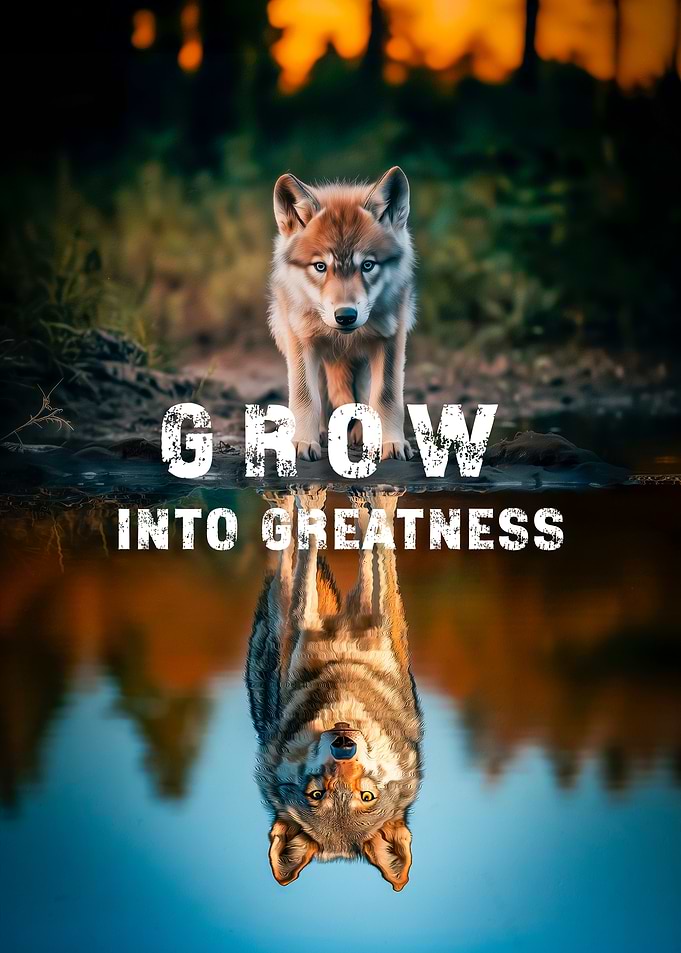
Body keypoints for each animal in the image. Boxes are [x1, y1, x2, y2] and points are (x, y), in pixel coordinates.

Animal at [246, 487, 423, 889]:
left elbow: (379, 550)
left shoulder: (382, 626)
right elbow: (310, 548)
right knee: (288, 558)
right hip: (280, 620)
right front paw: (310, 500)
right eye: (316, 794)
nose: (344, 745)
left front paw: (380, 501)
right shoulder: (301, 625)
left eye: (367, 795)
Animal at [269, 167, 416, 462]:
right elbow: (305, 397)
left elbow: (386, 396)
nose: (346, 315)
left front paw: (391, 443)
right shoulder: (301, 339)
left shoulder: (390, 339)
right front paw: (302, 442)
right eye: (320, 266)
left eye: (368, 265)